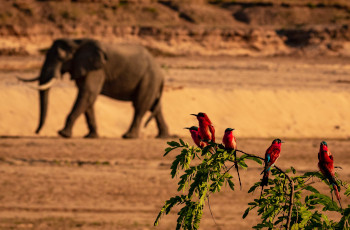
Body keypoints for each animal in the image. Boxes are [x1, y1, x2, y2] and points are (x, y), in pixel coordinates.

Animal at [18, 38, 170, 138]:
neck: (76, 43)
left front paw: (63, 134)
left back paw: (128, 136)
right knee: (154, 106)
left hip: (149, 79)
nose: (36, 132)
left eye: (60, 57)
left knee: (140, 105)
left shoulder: (96, 69)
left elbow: (87, 94)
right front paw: (91, 136)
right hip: (150, 81)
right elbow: (88, 99)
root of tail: (161, 73)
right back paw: (163, 136)